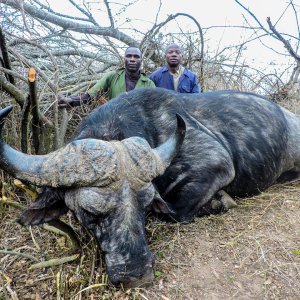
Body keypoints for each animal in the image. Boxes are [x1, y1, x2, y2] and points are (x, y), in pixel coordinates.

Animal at [0, 88, 300, 288]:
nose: (137, 274)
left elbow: (175, 212)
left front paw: (219, 201)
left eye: (145, 206)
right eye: (89, 213)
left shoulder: (218, 163)